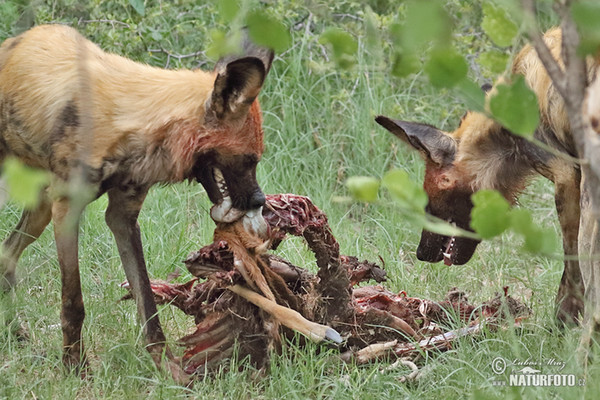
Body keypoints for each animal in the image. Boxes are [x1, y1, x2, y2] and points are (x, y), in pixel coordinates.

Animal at [1, 25, 274, 382]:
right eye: (249, 160)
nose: (260, 200)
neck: (133, 123)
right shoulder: (68, 210)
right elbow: (74, 303)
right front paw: (75, 367)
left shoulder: (122, 218)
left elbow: (147, 303)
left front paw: (167, 368)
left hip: (40, 210)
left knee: (6, 254)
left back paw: (11, 329)